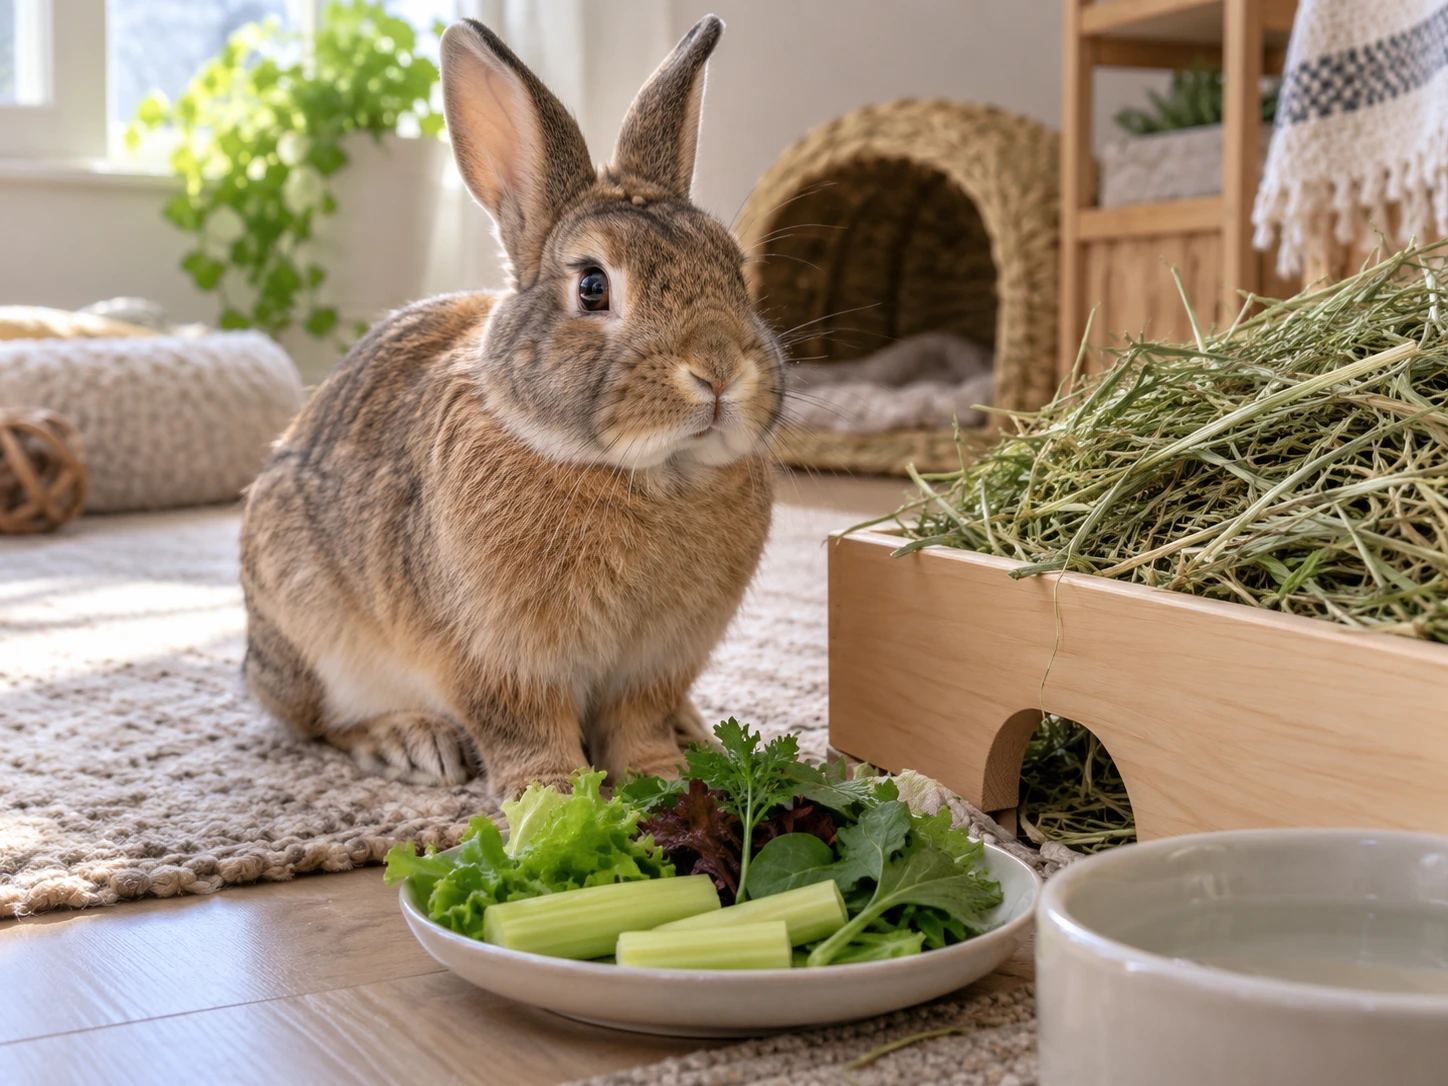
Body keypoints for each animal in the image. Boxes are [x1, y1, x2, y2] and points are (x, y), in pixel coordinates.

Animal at [239, 15, 784, 799]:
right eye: (592, 286)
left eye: (733, 268)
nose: (718, 371)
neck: (653, 473)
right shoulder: (496, 660)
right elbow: (525, 732)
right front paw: (553, 799)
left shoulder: (657, 663)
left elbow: (640, 725)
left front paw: (668, 782)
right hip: (314, 632)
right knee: (320, 723)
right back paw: (410, 743)